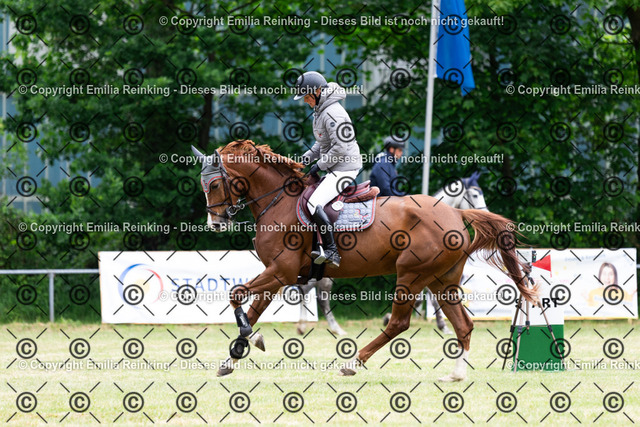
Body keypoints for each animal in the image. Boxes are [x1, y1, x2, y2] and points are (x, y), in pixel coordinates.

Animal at [191, 140, 538, 381]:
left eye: (214, 184)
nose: (215, 223)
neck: (278, 201)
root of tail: (454, 212)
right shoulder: (276, 274)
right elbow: (249, 308)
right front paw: (233, 357)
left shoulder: (280, 272)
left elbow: (236, 295)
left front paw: (252, 338)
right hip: (443, 280)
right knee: (463, 324)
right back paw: (455, 374)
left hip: (411, 273)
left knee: (399, 322)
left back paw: (353, 362)